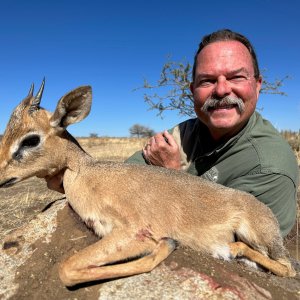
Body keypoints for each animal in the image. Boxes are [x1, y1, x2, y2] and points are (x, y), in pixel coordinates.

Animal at [0, 81, 296, 286]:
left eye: (30, 139)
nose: (1, 176)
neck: (90, 175)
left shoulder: (134, 233)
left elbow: (67, 268)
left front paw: (168, 244)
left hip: (259, 236)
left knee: (288, 267)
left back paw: (231, 250)